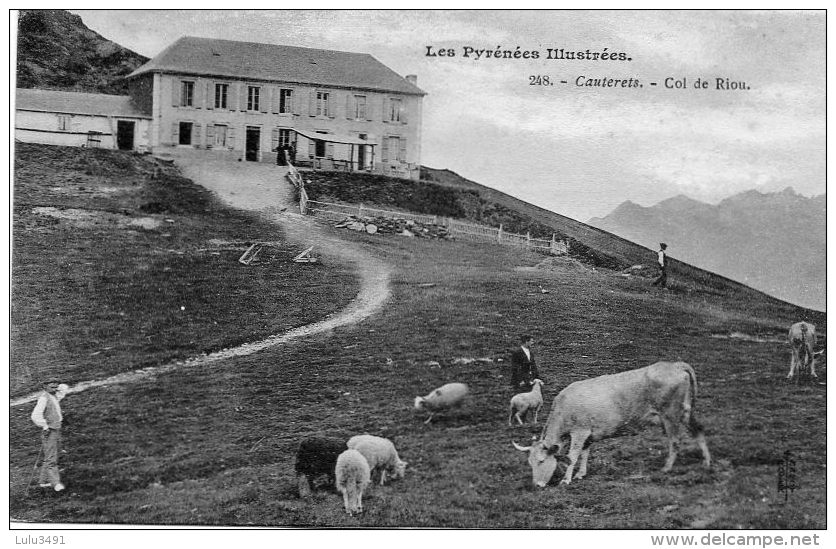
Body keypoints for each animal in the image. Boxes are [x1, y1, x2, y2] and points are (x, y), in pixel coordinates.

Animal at [512, 362, 708, 486]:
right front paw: (581, 474)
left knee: (675, 440)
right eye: (530, 463)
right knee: (698, 430)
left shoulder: (580, 432)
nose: (537, 485)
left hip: (671, 414)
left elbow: (572, 456)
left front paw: (566, 480)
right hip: (686, 412)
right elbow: (585, 454)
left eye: (541, 461)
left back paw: (667, 468)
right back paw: (706, 463)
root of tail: (675, 365)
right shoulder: (588, 435)